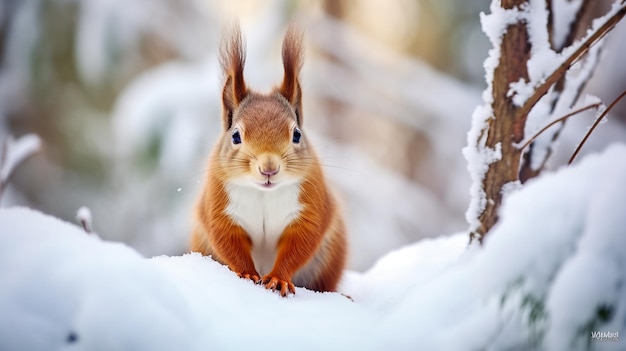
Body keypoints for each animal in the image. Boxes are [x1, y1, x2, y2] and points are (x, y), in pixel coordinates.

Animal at [190, 24, 346, 296]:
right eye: (236, 136)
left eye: (297, 134)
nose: (269, 168)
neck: (264, 194)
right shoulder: (219, 206)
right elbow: (228, 240)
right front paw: (247, 274)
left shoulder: (310, 206)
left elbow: (300, 243)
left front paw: (279, 278)